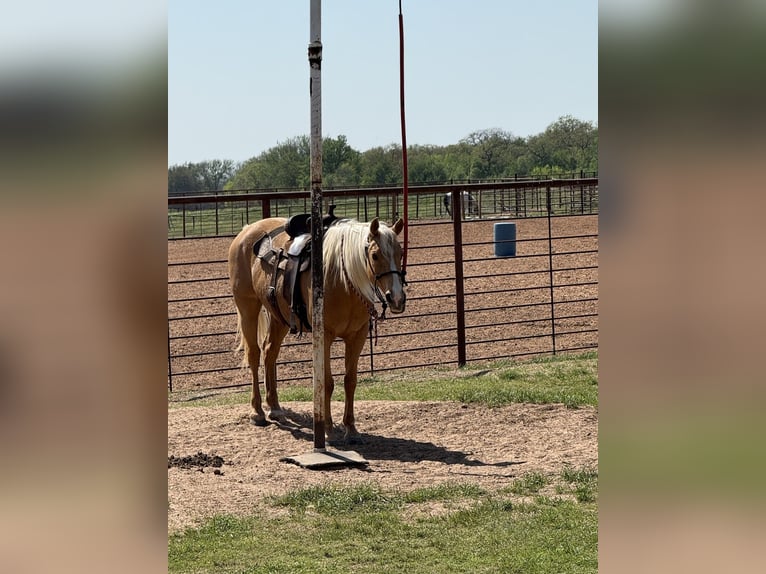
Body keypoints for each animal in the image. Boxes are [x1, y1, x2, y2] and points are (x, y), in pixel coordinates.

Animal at [228, 215, 406, 442]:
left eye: (400, 253)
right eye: (375, 255)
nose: (397, 299)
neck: (342, 279)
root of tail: (247, 230)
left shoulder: (357, 336)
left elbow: (350, 380)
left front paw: (351, 429)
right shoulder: (325, 336)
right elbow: (327, 383)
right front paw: (328, 429)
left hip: (279, 317)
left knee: (269, 352)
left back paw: (275, 408)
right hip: (247, 308)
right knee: (254, 354)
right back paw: (257, 412)